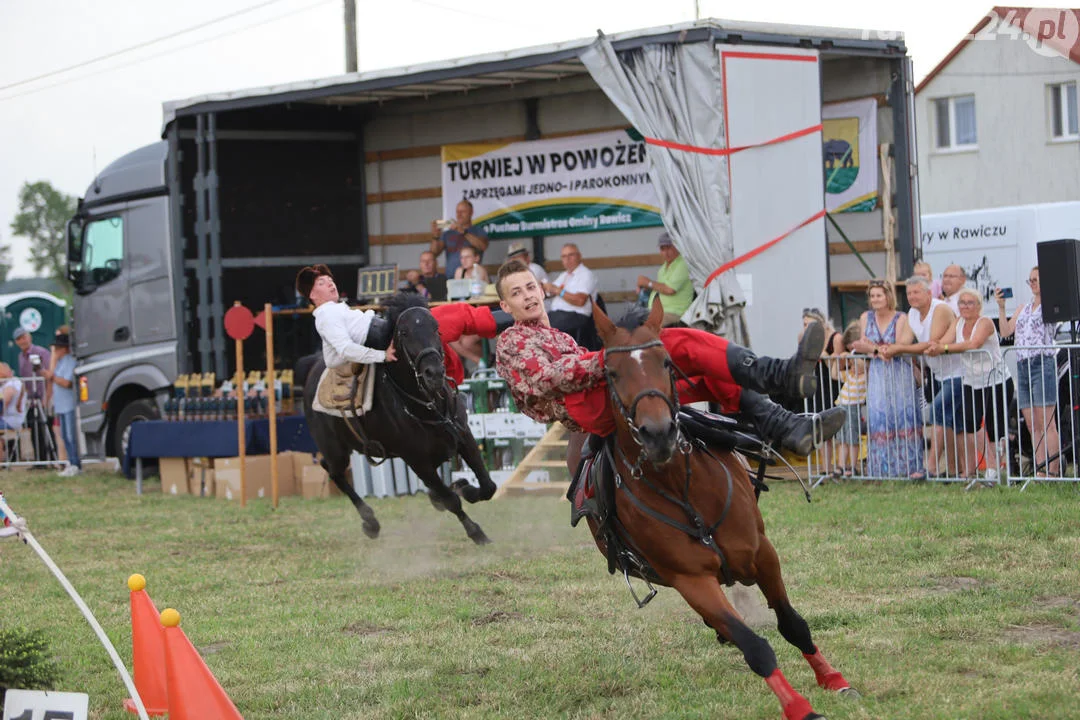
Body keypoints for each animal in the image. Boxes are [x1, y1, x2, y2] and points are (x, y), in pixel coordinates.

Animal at [300, 295, 494, 544]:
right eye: (404, 332)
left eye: (436, 328)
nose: (434, 373)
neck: (427, 406)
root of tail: (313, 368)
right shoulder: (417, 460)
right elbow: (451, 500)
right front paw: (476, 532)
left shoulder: (464, 437)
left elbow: (488, 486)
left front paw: (466, 488)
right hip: (335, 448)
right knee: (332, 470)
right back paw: (371, 522)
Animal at [570, 302, 855, 720]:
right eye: (611, 372)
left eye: (667, 363)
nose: (658, 433)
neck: (681, 486)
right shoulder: (691, 580)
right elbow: (755, 648)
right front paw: (799, 707)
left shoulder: (762, 552)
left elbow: (792, 623)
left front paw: (832, 678)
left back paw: (802, 396)